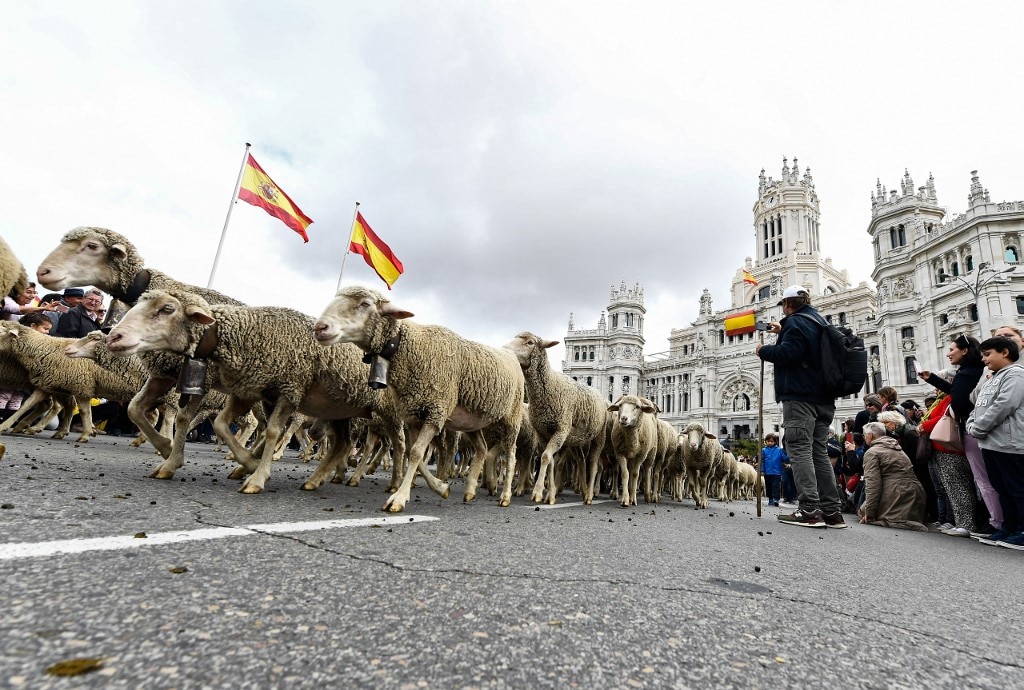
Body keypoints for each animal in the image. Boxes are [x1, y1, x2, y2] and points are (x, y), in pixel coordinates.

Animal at [107, 286, 403, 491]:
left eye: (167, 309)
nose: (114, 336)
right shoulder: (247, 391)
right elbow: (218, 424)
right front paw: (246, 461)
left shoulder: (288, 390)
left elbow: (270, 431)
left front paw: (256, 475)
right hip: (340, 410)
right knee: (342, 444)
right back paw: (318, 478)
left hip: (386, 415)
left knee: (391, 446)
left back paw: (388, 480)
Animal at [313, 284, 524, 509]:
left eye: (365, 304)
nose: (320, 327)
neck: (411, 347)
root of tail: (511, 355)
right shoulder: (414, 414)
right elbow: (414, 453)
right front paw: (441, 487)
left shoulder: (435, 411)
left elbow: (415, 453)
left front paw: (399, 498)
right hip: (472, 421)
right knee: (482, 449)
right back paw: (470, 491)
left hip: (512, 419)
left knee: (510, 457)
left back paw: (505, 495)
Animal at [503, 329, 606, 501]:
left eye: (530, 342)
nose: (504, 350)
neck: (550, 385)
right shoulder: (543, 433)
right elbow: (550, 460)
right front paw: (550, 495)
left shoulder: (561, 430)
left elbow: (545, 457)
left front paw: (538, 493)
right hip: (576, 440)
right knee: (581, 461)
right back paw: (584, 490)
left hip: (599, 437)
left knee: (593, 464)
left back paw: (590, 495)